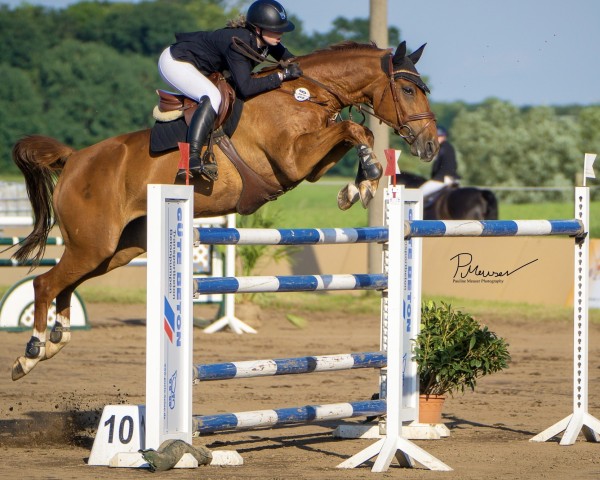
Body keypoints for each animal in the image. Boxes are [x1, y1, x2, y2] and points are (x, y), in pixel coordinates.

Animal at [9, 40, 438, 378]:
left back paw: (56, 340)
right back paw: (31, 352)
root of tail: (74, 159)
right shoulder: (292, 159)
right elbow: (353, 130)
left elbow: (355, 134)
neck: (301, 94)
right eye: (407, 89)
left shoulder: (310, 166)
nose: (430, 145)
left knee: (66, 284)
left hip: (117, 249)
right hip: (94, 244)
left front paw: (359, 185)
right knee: (46, 284)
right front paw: (367, 177)